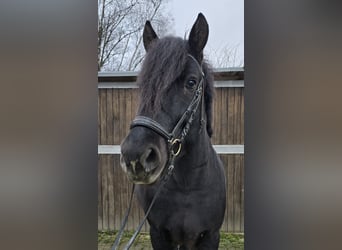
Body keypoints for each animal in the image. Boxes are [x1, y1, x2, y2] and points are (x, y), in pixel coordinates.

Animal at [120, 13, 227, 248]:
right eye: (142, 86)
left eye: (191, 82)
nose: (135, 156)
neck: (187, 187)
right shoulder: (158, 233)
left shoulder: (211, 236)